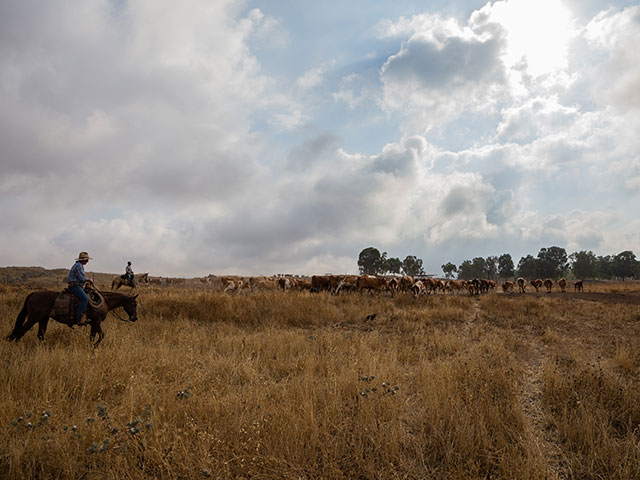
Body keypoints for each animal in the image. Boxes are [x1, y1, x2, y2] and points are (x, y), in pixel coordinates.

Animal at [6, 290, 138, 346]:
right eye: (134, 304)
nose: (135, 318)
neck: (104, 301)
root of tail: (34, 294)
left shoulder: (95, 323)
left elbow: (99, 336)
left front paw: (93, 347)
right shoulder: (96, 322)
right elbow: (96, 336)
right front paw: (92, 347)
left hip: (43, 319)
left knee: (40, 335)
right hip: (33, 319)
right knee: (21, 331)